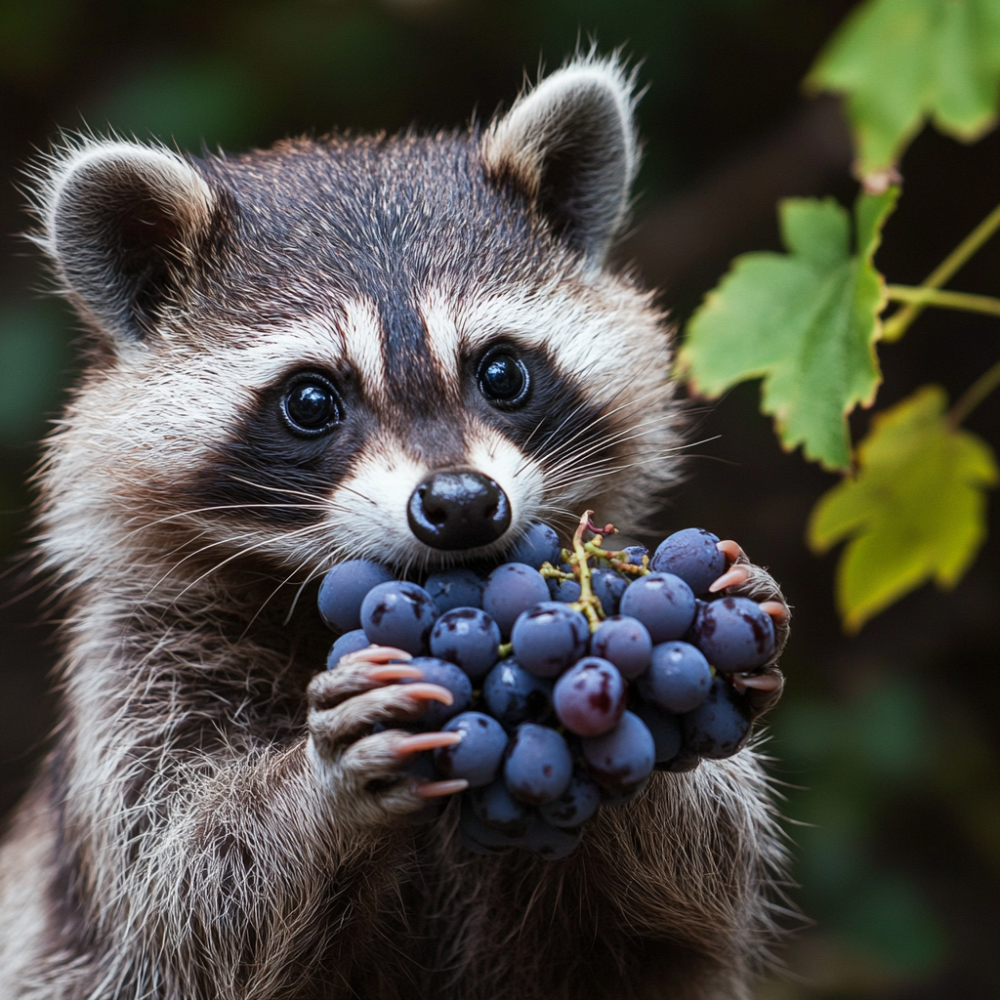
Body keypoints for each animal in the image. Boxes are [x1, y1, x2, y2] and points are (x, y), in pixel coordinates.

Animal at [0, 55, 791, 1000]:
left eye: (502, 372)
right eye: (310, 401)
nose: (462, 504)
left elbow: (686, 897)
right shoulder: (139, 671)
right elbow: (183, 891)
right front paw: (317, 791)